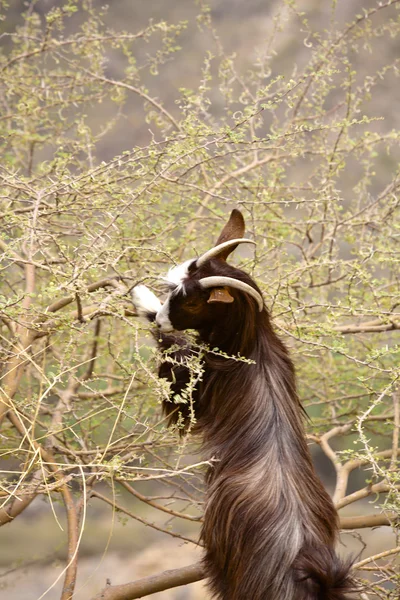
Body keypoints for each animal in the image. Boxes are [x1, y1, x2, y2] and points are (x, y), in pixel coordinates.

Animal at [133, 210, 354, 600]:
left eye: (193, 301)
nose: (162, 318)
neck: (252, 344)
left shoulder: (194, 388)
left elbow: (175, 366)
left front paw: (140, 299)